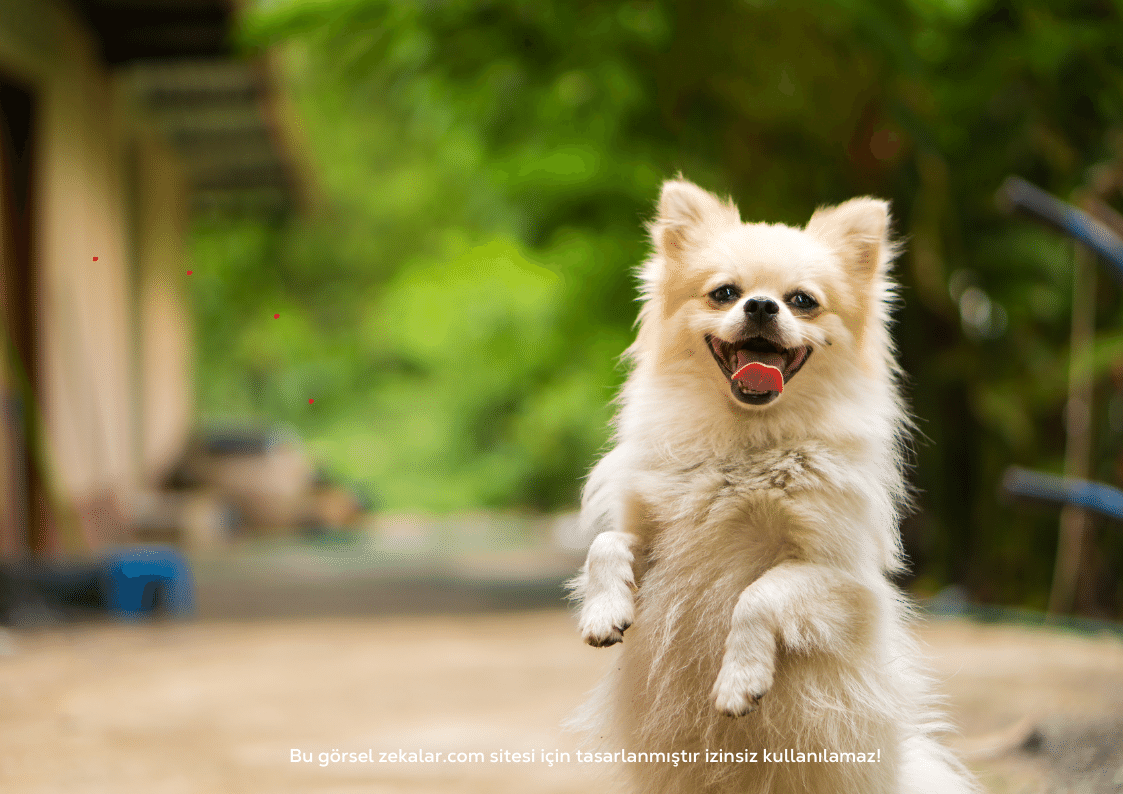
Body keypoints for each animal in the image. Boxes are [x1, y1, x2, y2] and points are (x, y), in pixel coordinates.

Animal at [565, 179, 979, 794]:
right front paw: (602, 612)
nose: (761, 305)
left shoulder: (838, 579)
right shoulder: (657, 539)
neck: (748, 444)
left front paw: (740, 681)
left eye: (803, 300)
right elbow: (607, 543)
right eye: (724, 293)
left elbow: (757, 595)